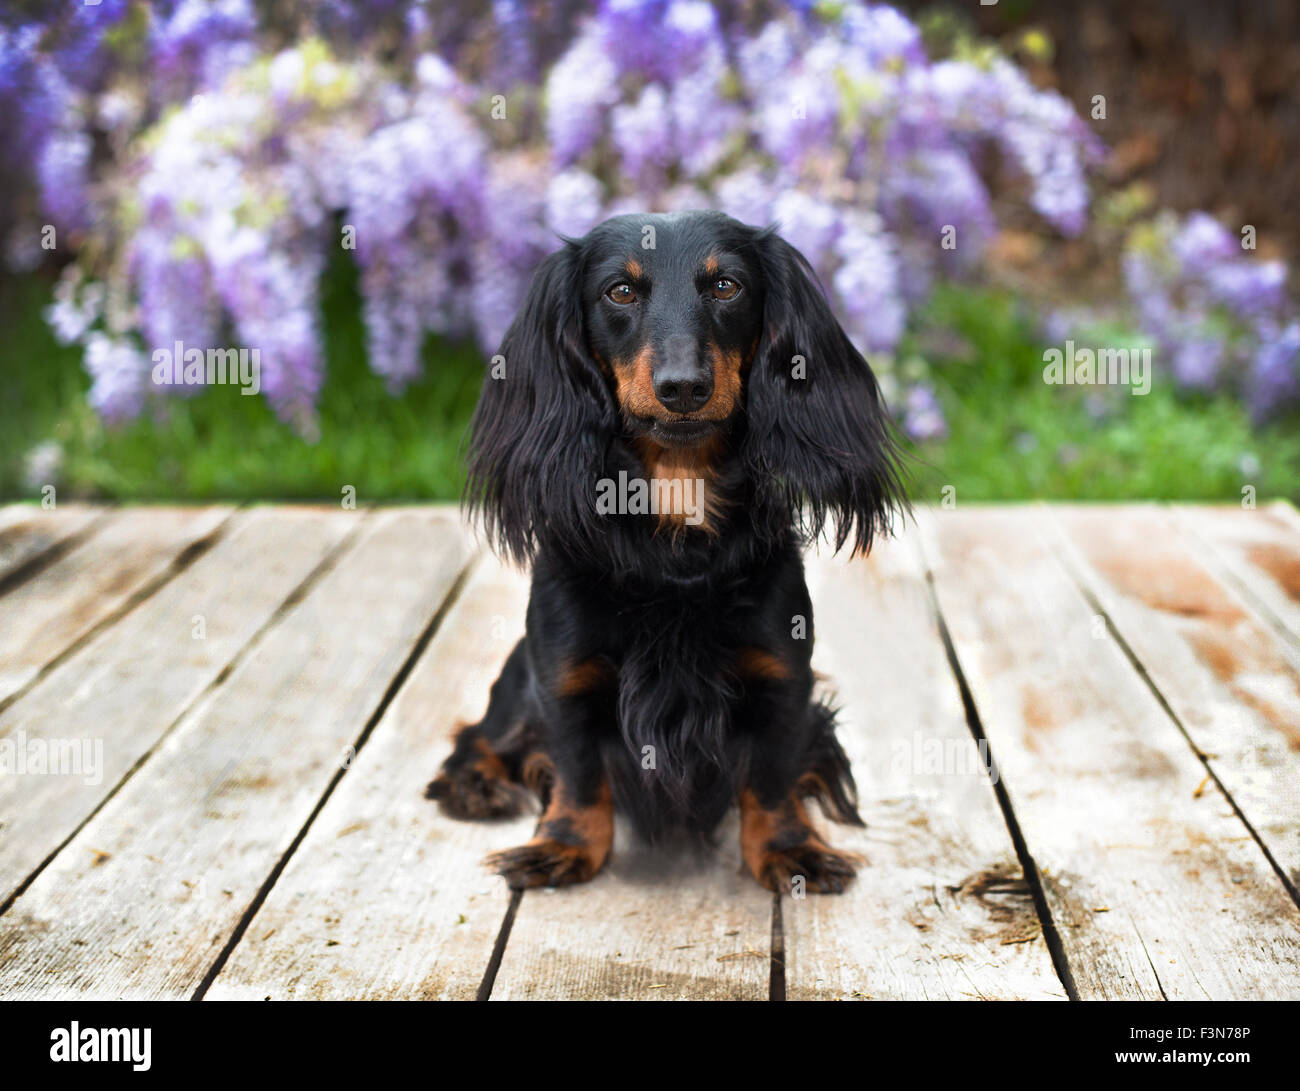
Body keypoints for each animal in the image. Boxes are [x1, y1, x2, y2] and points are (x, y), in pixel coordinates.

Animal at [426, 209, 904, 889]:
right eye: (620, 291)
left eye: (727, 285)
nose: (683, 388)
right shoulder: (563, 676)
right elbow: (577, 771)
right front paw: (564, 845)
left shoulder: (783, 678)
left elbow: (773, 775)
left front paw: (790, 850)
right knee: (483, 734)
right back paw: (476, 784)